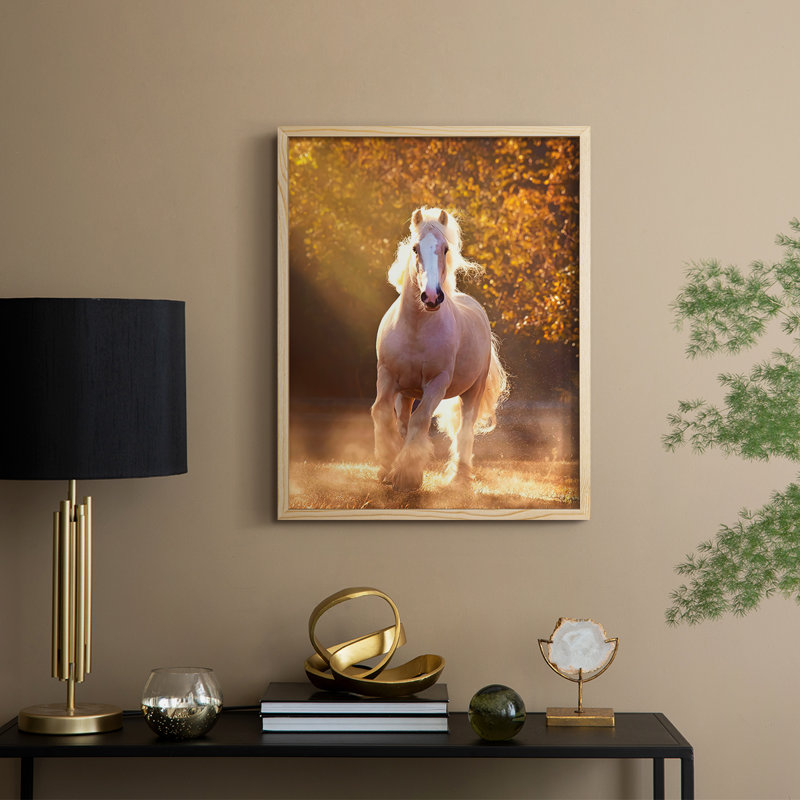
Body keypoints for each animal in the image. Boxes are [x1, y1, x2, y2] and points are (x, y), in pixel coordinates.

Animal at [371, 207, 508, 492]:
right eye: (415, 248)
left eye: (445, 249)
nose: (432, 297)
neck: (415, 328)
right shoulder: (386, 375)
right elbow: (381, 413)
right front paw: (388, 465)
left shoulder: (436, 383)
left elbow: (421, 419)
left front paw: (407, 475)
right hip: (406, 392)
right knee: (402, 421)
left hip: (473, 391)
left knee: (465, 429)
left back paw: (459, 478)